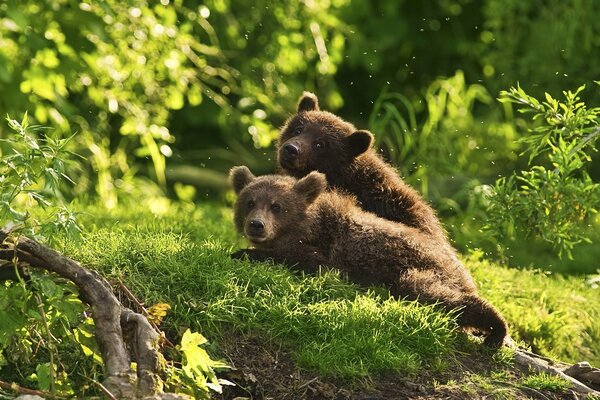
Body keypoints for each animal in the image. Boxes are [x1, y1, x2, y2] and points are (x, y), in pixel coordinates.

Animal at [229, 166, 506, 346]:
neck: (309, 227)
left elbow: (303, 260)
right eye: (249, 202)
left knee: (433, 293)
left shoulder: (328, 254)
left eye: (277, 206)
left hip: (420, 269)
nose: (256, 225)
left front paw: (241, 252)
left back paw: (496, 328)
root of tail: (462, 271)